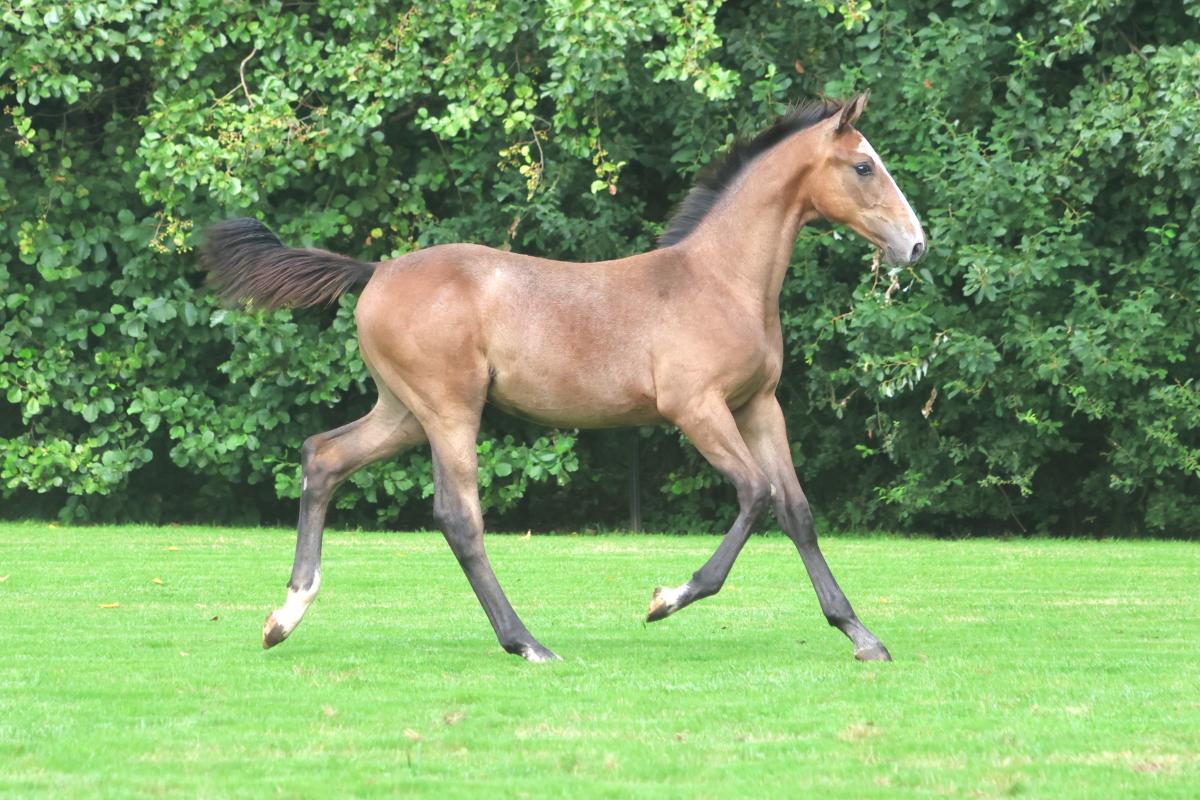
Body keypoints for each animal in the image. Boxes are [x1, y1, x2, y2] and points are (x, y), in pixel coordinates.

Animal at [201, 94, 925, 663]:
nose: (915, 245)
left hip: (403, 413)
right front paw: (665, 599)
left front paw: (861, 635)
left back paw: (284, 617)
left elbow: (798, 512)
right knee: (458, 517)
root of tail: (375, 270)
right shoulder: (696, 407)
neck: (719, 280)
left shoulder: (759, 405)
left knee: (323, 457)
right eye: (864, 165)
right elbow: (756, 495)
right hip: (448, 411)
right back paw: (526, 642)